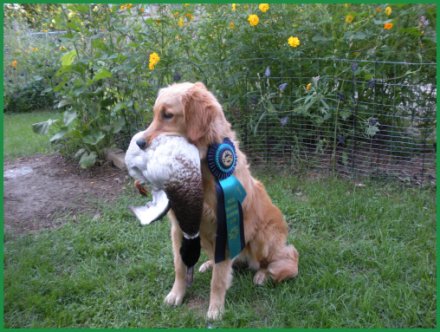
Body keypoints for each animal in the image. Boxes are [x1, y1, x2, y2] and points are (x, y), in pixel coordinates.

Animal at [141, 81, 300, 320]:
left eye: (167, 115)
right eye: (154, 114)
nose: (139, 143)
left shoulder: (225, 227)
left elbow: (218, 280)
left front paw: (215, 309)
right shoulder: (179, 228)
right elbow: (180, 267)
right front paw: (176, 294)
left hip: (263, 239)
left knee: (285, 259)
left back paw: (263, 275)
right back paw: (208, 264)